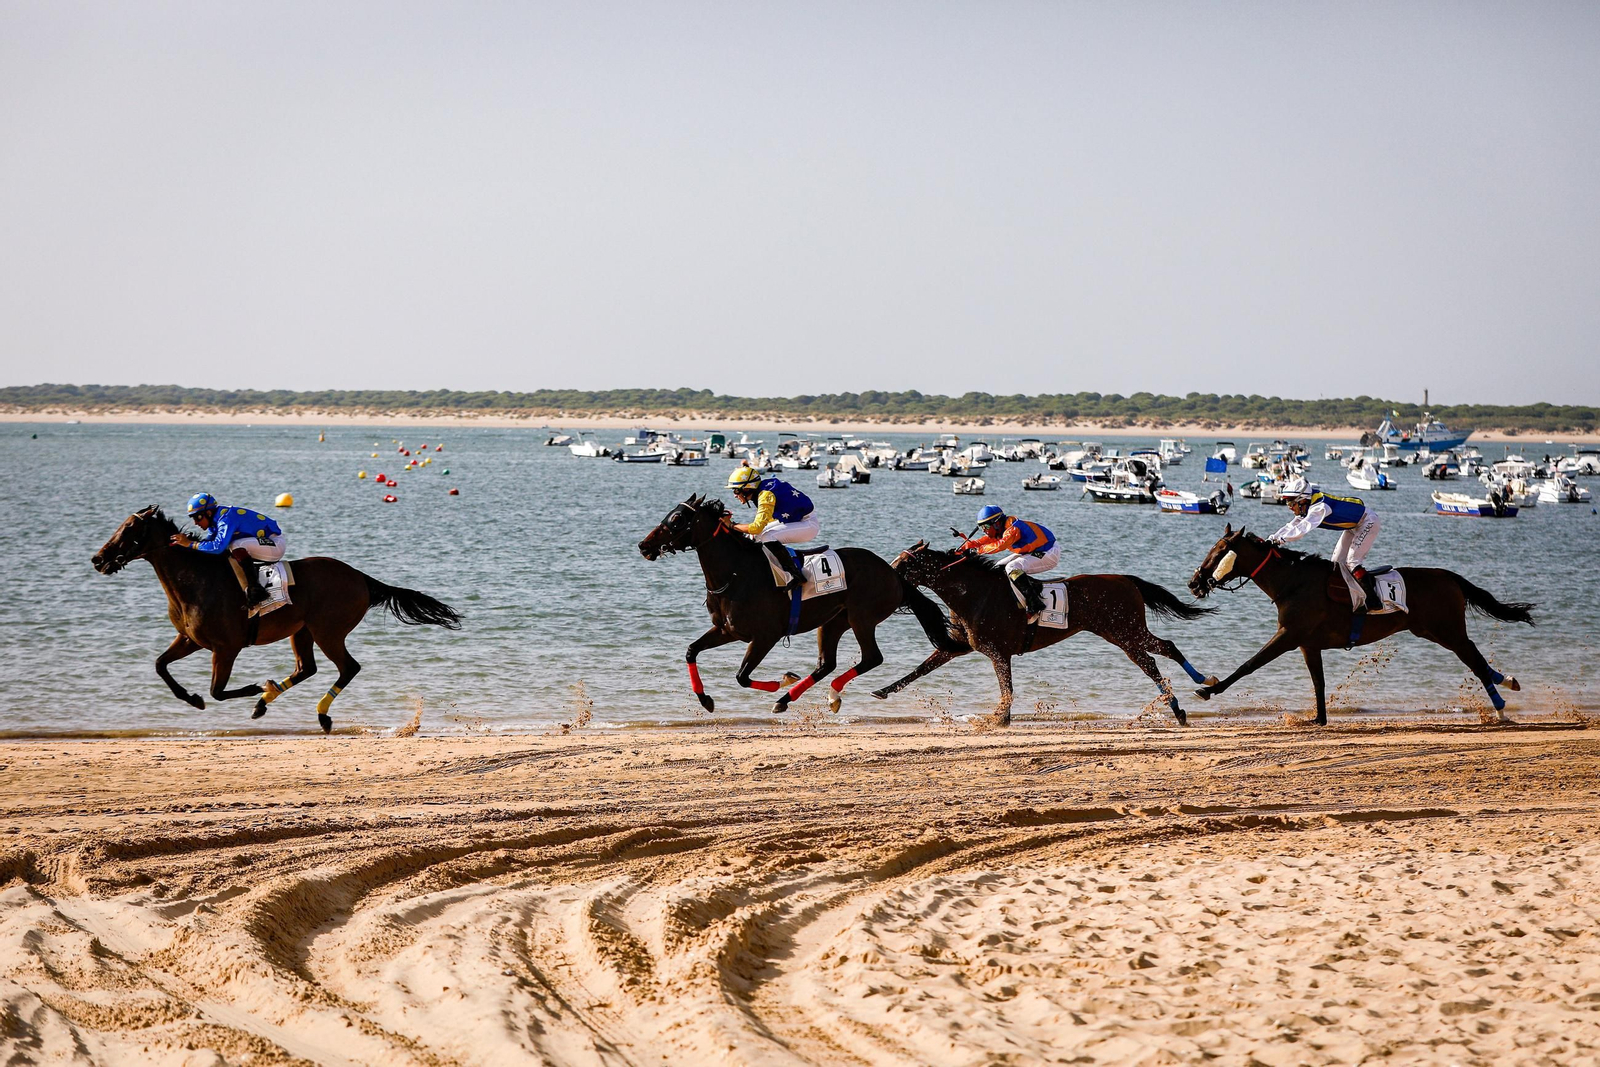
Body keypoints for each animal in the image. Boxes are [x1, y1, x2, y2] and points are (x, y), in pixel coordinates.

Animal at [93, 506, 462, 733]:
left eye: (129, 528)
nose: (98, 559)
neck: (196, 580)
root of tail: (361, 577)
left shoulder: (226, 648)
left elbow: (217, 691)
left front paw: (255, 686)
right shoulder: (190, 640)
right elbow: (160, 665)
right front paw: (193, 698)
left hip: (328, 631)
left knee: (348, 667)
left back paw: (317, 713)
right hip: (302, 631)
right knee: (306, 669)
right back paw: (265, 703)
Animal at [637, 495, 965, 714]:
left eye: (677, 520)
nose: (644, 546)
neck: (736, 573)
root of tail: (893, 572)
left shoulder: (764, 636)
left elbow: (742, 676)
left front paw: (780, 681)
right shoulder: (727, 631)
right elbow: (691, 651)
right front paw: (705, 699)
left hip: (862, 617)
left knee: (872, 658)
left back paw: (811, 695)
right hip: (832, 621)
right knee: (826, 664)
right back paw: (807, 698)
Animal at [871, 540, 1217, 725]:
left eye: (905, 564)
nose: (886, 577)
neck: (973, 593)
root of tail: (1126, 580)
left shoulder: (998, 652)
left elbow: (1007, 689)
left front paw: (1000, 719)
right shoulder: (958, 645)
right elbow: (921, 669)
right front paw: (883, 690)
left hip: (1126, 632)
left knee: (1161, 653)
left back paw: (1197, 688)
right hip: (1123, 634)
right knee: (1157, 657)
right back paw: (1185, 700)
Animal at [1187, 525, 1533, 724]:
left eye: (1220, 550)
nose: (1194, 583)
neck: (1293, 582)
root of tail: (1449, 576)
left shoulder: (1288, 635)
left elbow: (1249, 664)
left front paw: (1209, 689)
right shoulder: (1308, 644)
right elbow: (1318, 682)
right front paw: (1319, 719)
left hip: (1447, 631)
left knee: (1474, 659)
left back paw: (1501, 707)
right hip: (1432, 630)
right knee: (1476, 657)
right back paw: (1508, 682)